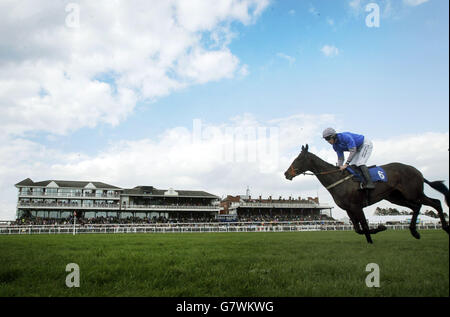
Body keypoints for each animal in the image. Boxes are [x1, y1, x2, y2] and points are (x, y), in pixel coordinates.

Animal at [286, 144, 448, 243]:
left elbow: (364, 225)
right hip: (396, 198)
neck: (338, 179)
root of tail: (417, 171)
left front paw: (376, 234)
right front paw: (375, 233)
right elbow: (358, 229)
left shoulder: (357, 206)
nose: (286, 173)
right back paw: (414, 231)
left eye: (298, 159)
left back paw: (444, 227)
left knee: (435, 202)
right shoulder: (349, 209)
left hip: (413, 193)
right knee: (416, 207)